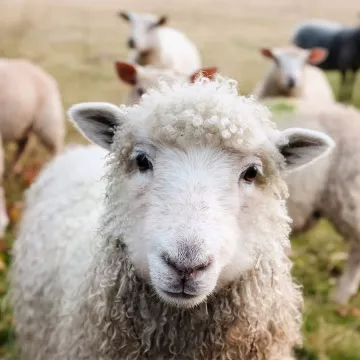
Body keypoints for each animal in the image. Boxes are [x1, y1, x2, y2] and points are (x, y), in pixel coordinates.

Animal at [0, 58, 64, 239]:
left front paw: (2, 221)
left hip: (48, 122)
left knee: (56, 148)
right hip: (22, 124)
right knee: (23, 144)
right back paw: (13, 170)